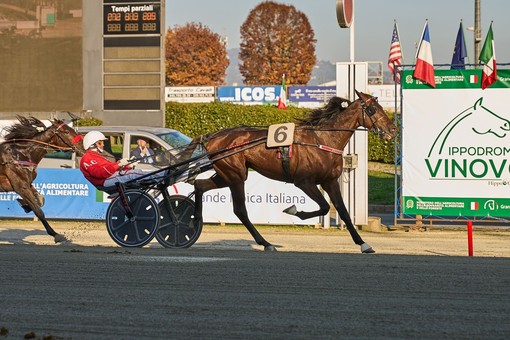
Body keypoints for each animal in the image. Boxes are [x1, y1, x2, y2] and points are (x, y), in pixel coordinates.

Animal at [193, 90, 396, 252]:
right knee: (240, 210)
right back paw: (266, 243)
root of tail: (213, 137)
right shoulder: (304, 182)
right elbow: (324, 207)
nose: (393, 129)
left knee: (199, 185)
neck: (323, 140)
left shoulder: (329, 181)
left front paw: (363, 244)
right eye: (372, 109)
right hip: (235, 176)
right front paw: (294, 210)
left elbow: (343, 211)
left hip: (227, 175)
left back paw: (195, 220)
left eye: (379, 106)